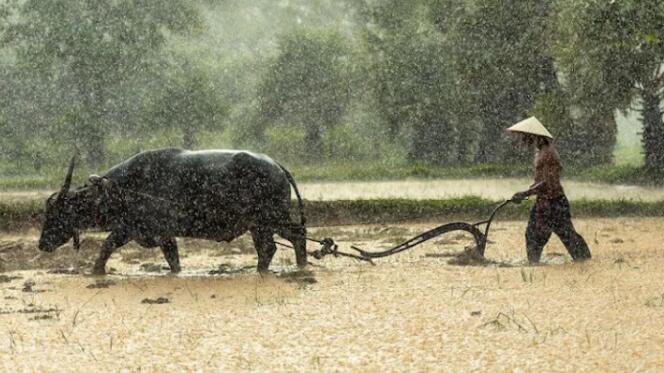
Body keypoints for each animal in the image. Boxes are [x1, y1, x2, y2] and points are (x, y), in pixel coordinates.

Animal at [36, 147, 306, 274]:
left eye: (57, 213)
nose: (41, 244)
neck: (124, 188)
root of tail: (277, 166)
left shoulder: (152, 231)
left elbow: (108, 245)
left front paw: (96, 272)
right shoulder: (134, 230)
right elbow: (110, 247)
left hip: (272, 218)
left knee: (294, 236)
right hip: (259, 225)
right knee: (270, 247)